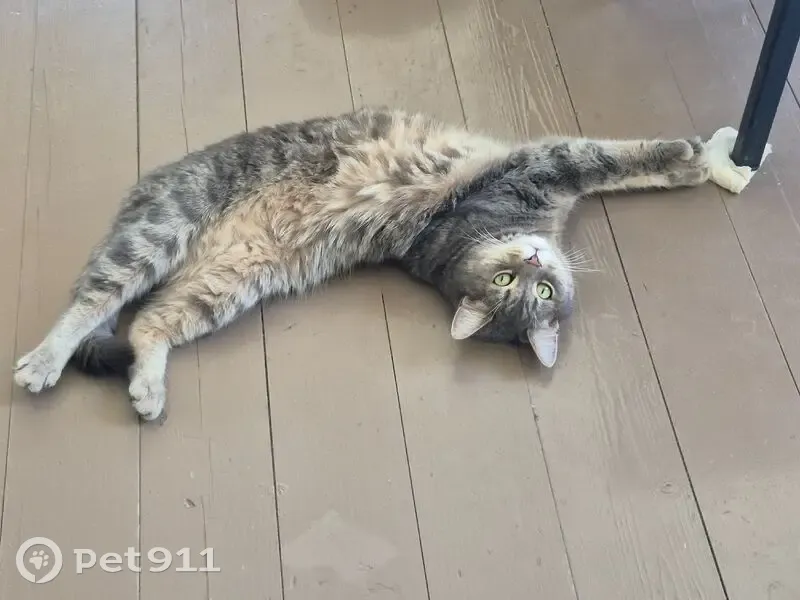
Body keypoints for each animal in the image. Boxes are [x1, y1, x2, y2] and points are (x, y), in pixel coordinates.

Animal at [13, 106, 711, 422]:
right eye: (508, 281)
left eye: (539, 293)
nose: (537, 261)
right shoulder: (540, 165)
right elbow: (614, 157)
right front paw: (693, 156)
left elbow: (623, 169)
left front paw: (695, 164)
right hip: (158, 231)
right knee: (93, 302)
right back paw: (42, 364)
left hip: (223, 287)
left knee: (148, 323)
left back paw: (148, 389)